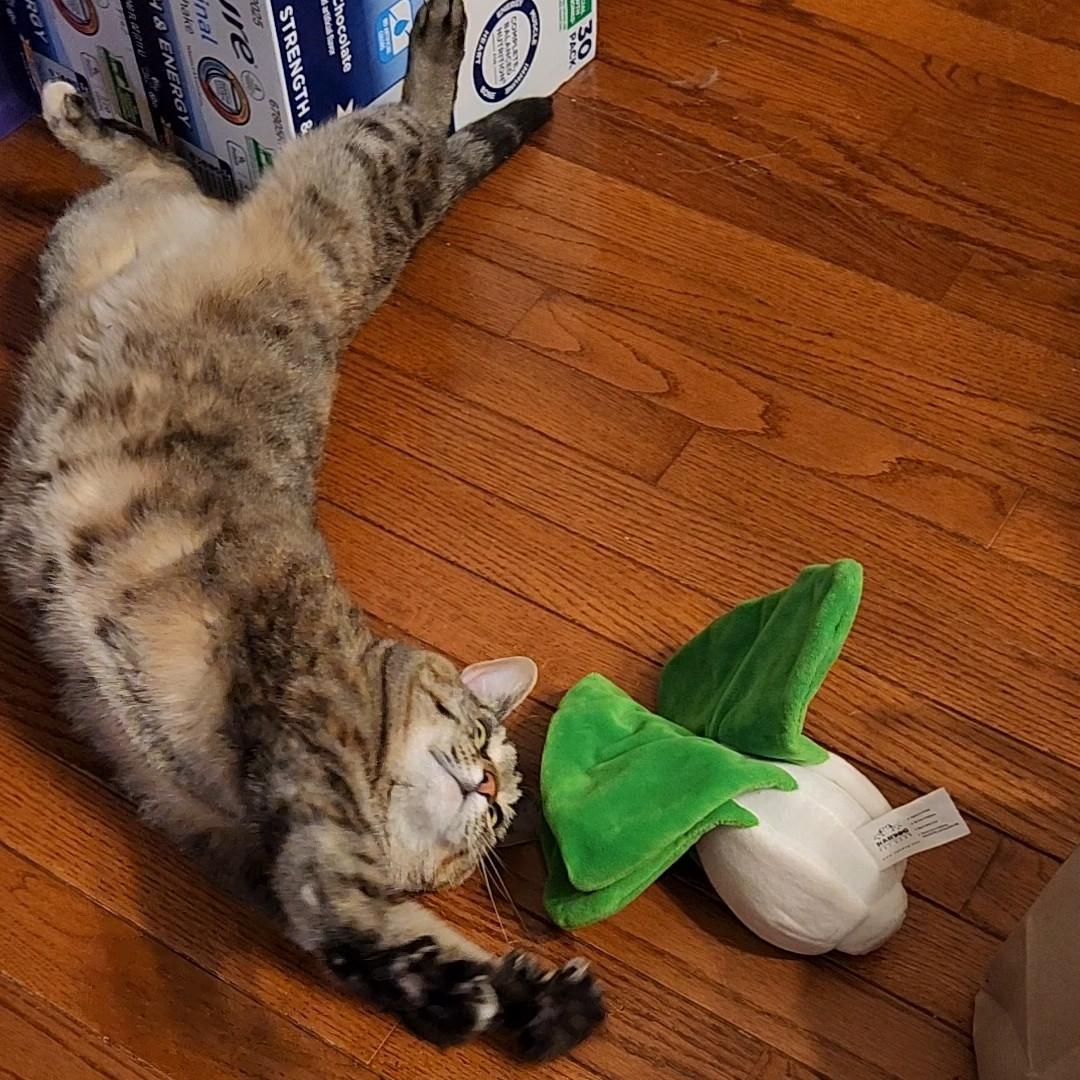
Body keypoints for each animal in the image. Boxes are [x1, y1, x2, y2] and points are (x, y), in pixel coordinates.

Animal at [0, 0, 604, 1062]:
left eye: (497, 833)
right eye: (484, 736)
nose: (492, 795)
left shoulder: (245, 845)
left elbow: (361, 922)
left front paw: (527, 1000)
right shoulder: (298, 743)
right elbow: (348, 904)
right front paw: (460, 992)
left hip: (82, 256)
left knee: (174, 171)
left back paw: (76, 112)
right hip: (368, 179)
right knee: (421, 122)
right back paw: (440, 36)